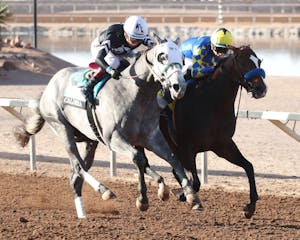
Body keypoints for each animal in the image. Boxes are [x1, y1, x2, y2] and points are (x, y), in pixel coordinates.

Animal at [14, 38, 202, 218]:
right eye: (162, 57)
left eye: (182, 58)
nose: (179, 87)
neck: (135, 95)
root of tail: (48, 88)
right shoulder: (114, 139)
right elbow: (139, 159)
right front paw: (143, 199)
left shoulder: (151, 137)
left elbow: (172, 158)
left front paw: (191, 196)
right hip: (62, 128)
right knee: (78, 166)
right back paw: (105, 191)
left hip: (90, 140)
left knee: (76, 176)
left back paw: (82, 212)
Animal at [170, 45, 266, 219]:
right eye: (243, 63)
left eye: (259, 62)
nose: (261, 89)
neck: (211, 102)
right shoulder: (187, 147)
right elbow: (196, 182)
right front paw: (185, 196)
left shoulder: (222, 144)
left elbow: (249, 166)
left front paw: (250, 206)